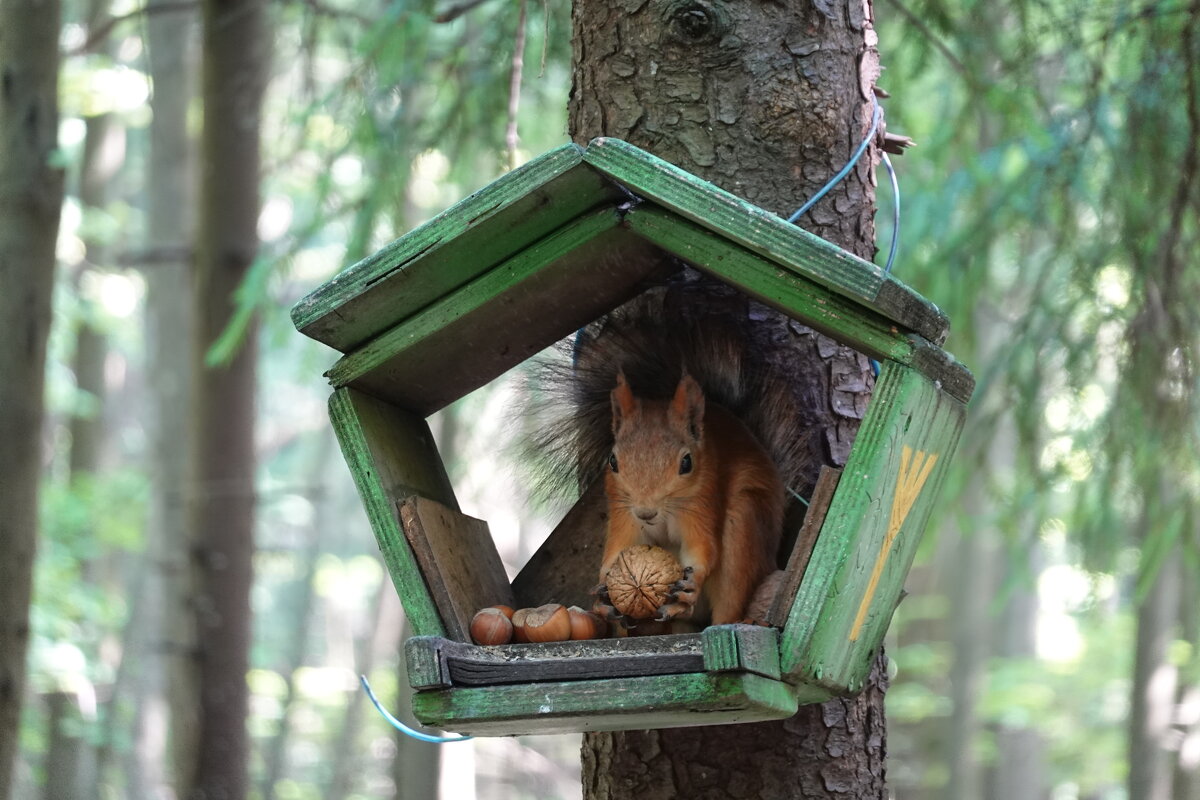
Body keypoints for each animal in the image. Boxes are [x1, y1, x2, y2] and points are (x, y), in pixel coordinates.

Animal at [592, 371, 787, 628]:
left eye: (687, 463)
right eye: (612, 461)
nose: (646, 513)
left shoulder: (703, 500)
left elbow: (701, 547)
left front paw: (691, 585)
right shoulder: (624, 512)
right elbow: (619, 548)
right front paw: (602, 594)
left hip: (743, 525)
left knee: (730, 598)